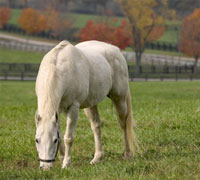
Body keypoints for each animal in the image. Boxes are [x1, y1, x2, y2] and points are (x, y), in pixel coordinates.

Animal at [34, 40, 139, 169]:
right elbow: (61, 134)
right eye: (37, 140)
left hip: (120, 99)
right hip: (91, 104)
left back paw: (127, 153)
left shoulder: (73, 108)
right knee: (96, 126)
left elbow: (68, 137)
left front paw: (66, 163)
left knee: (123, 124)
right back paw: (97, 158)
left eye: (54, 141)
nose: (45, 167)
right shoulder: (56, 110)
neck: (59, 68)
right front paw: (61, 157)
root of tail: (117, 50)